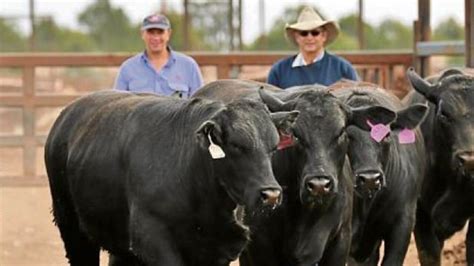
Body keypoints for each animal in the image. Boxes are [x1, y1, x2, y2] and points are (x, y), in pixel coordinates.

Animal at [43, 90, 300, 266]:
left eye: (273, 147)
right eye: (236, 146)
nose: (271, 194)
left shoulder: (220, 249)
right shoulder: (153, 241)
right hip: (71, 226)